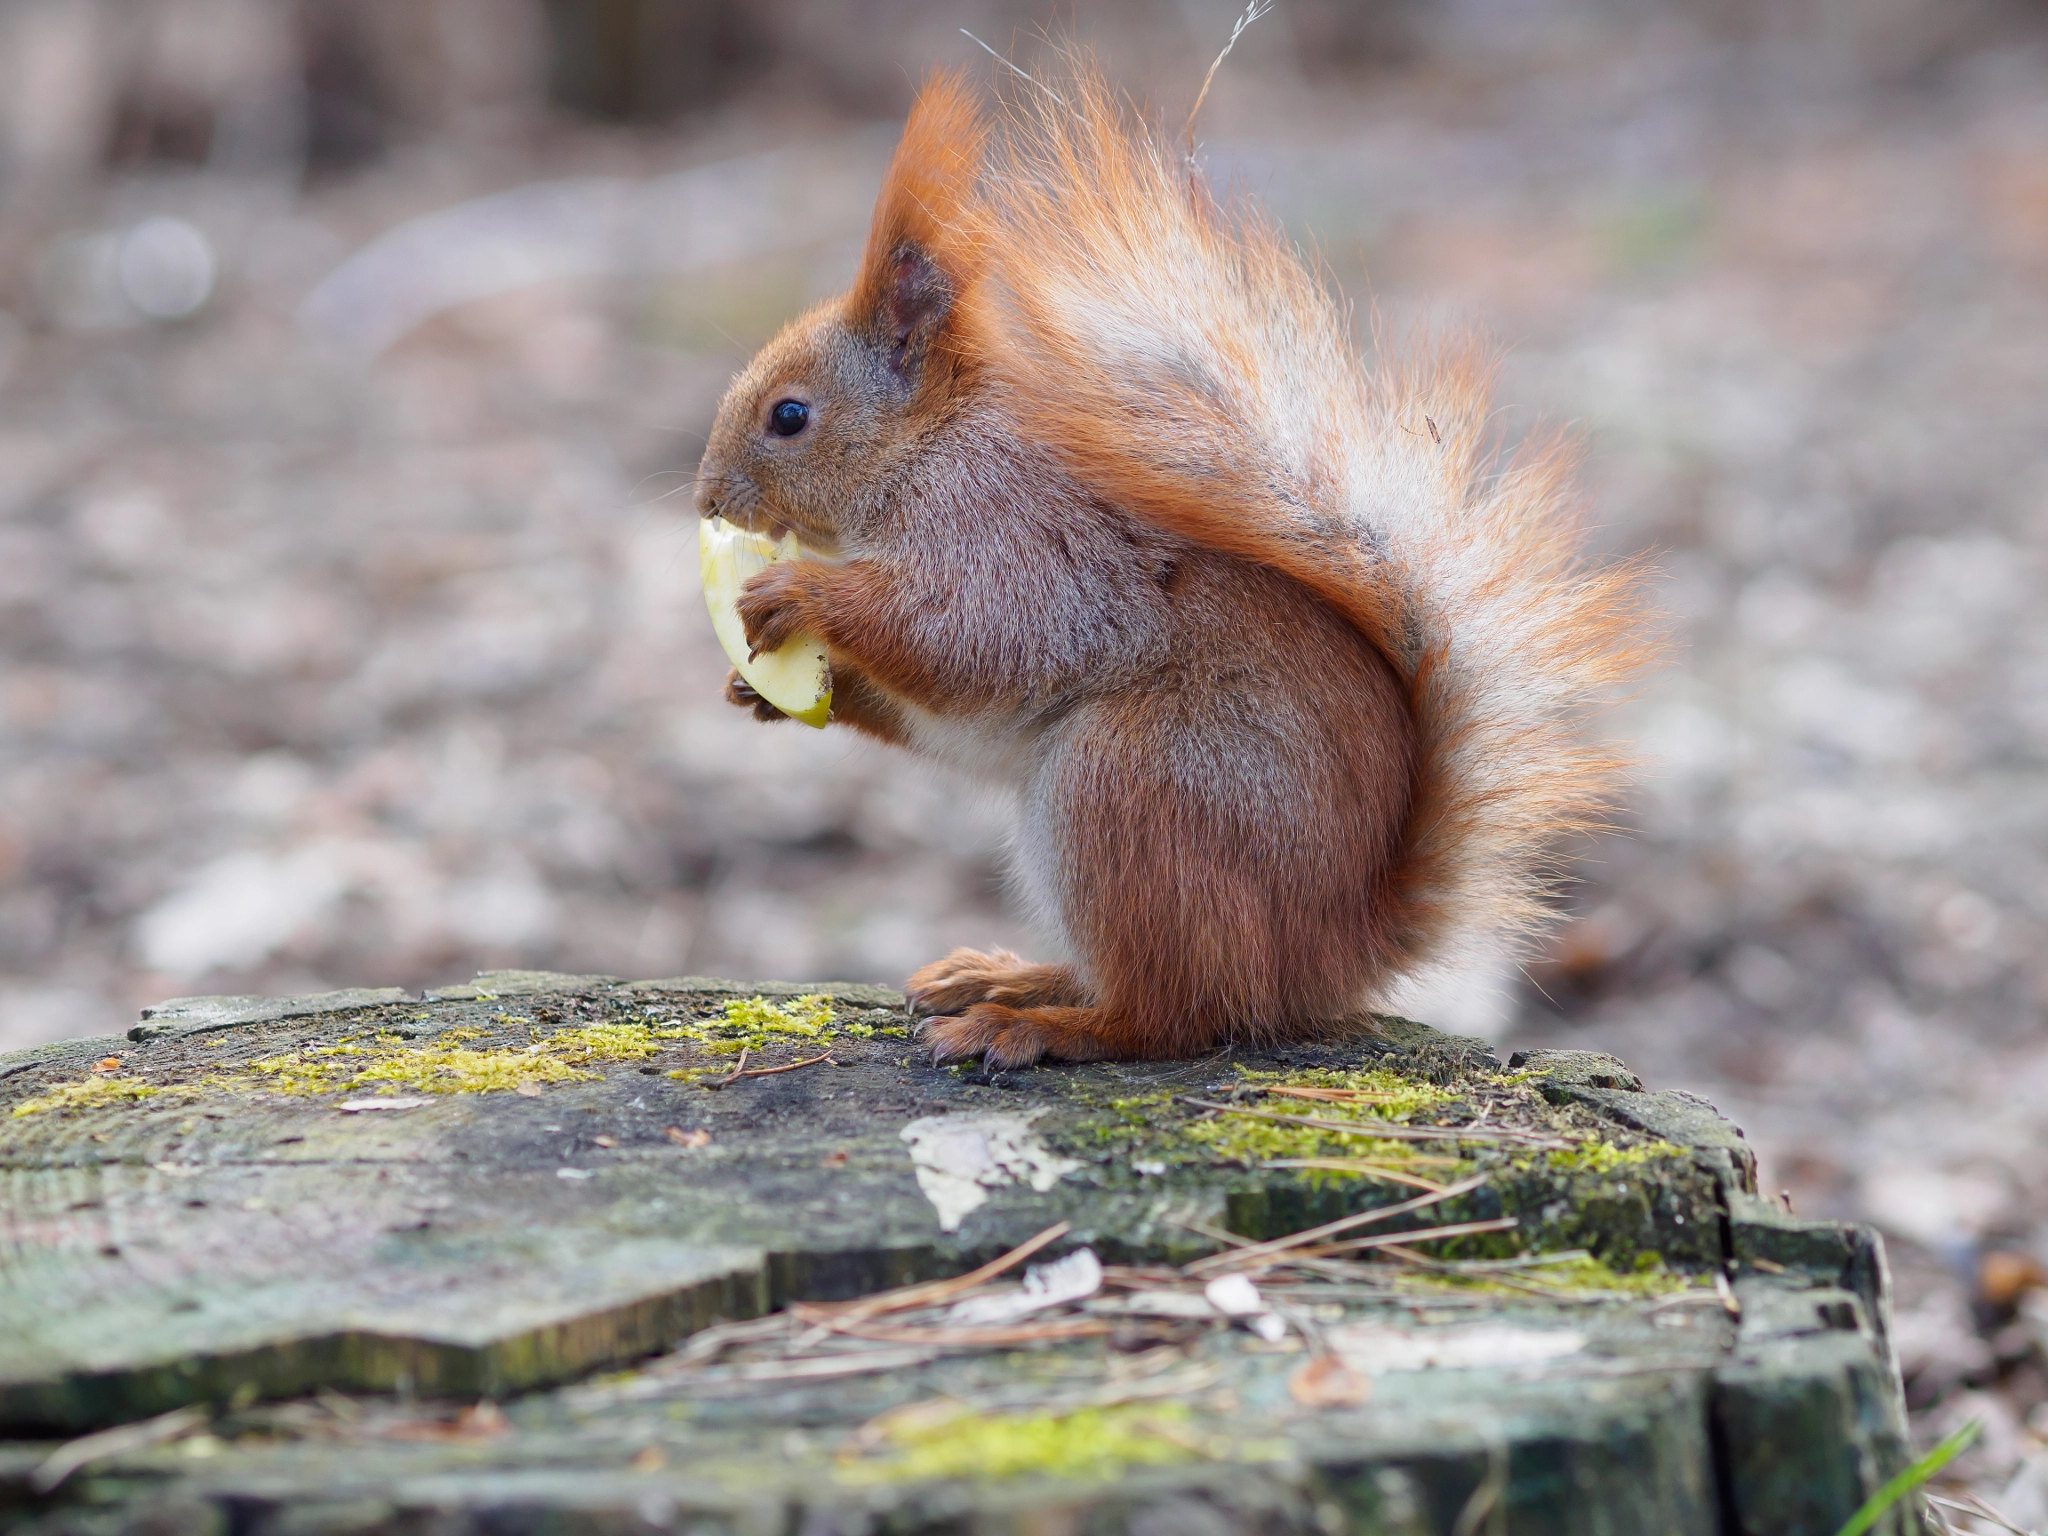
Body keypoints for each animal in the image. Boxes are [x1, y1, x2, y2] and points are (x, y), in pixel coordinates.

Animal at [688, 63, 1646, 1073]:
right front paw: (762, 690)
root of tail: (1332, 953)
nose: (707, 499)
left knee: (1170, 1015)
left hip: (1130, 788)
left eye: (790, 416)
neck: (927, 450)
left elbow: (973, 641)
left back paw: (1032, 1025)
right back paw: (1008, 976)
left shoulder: (1016, 537)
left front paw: (798, 594)